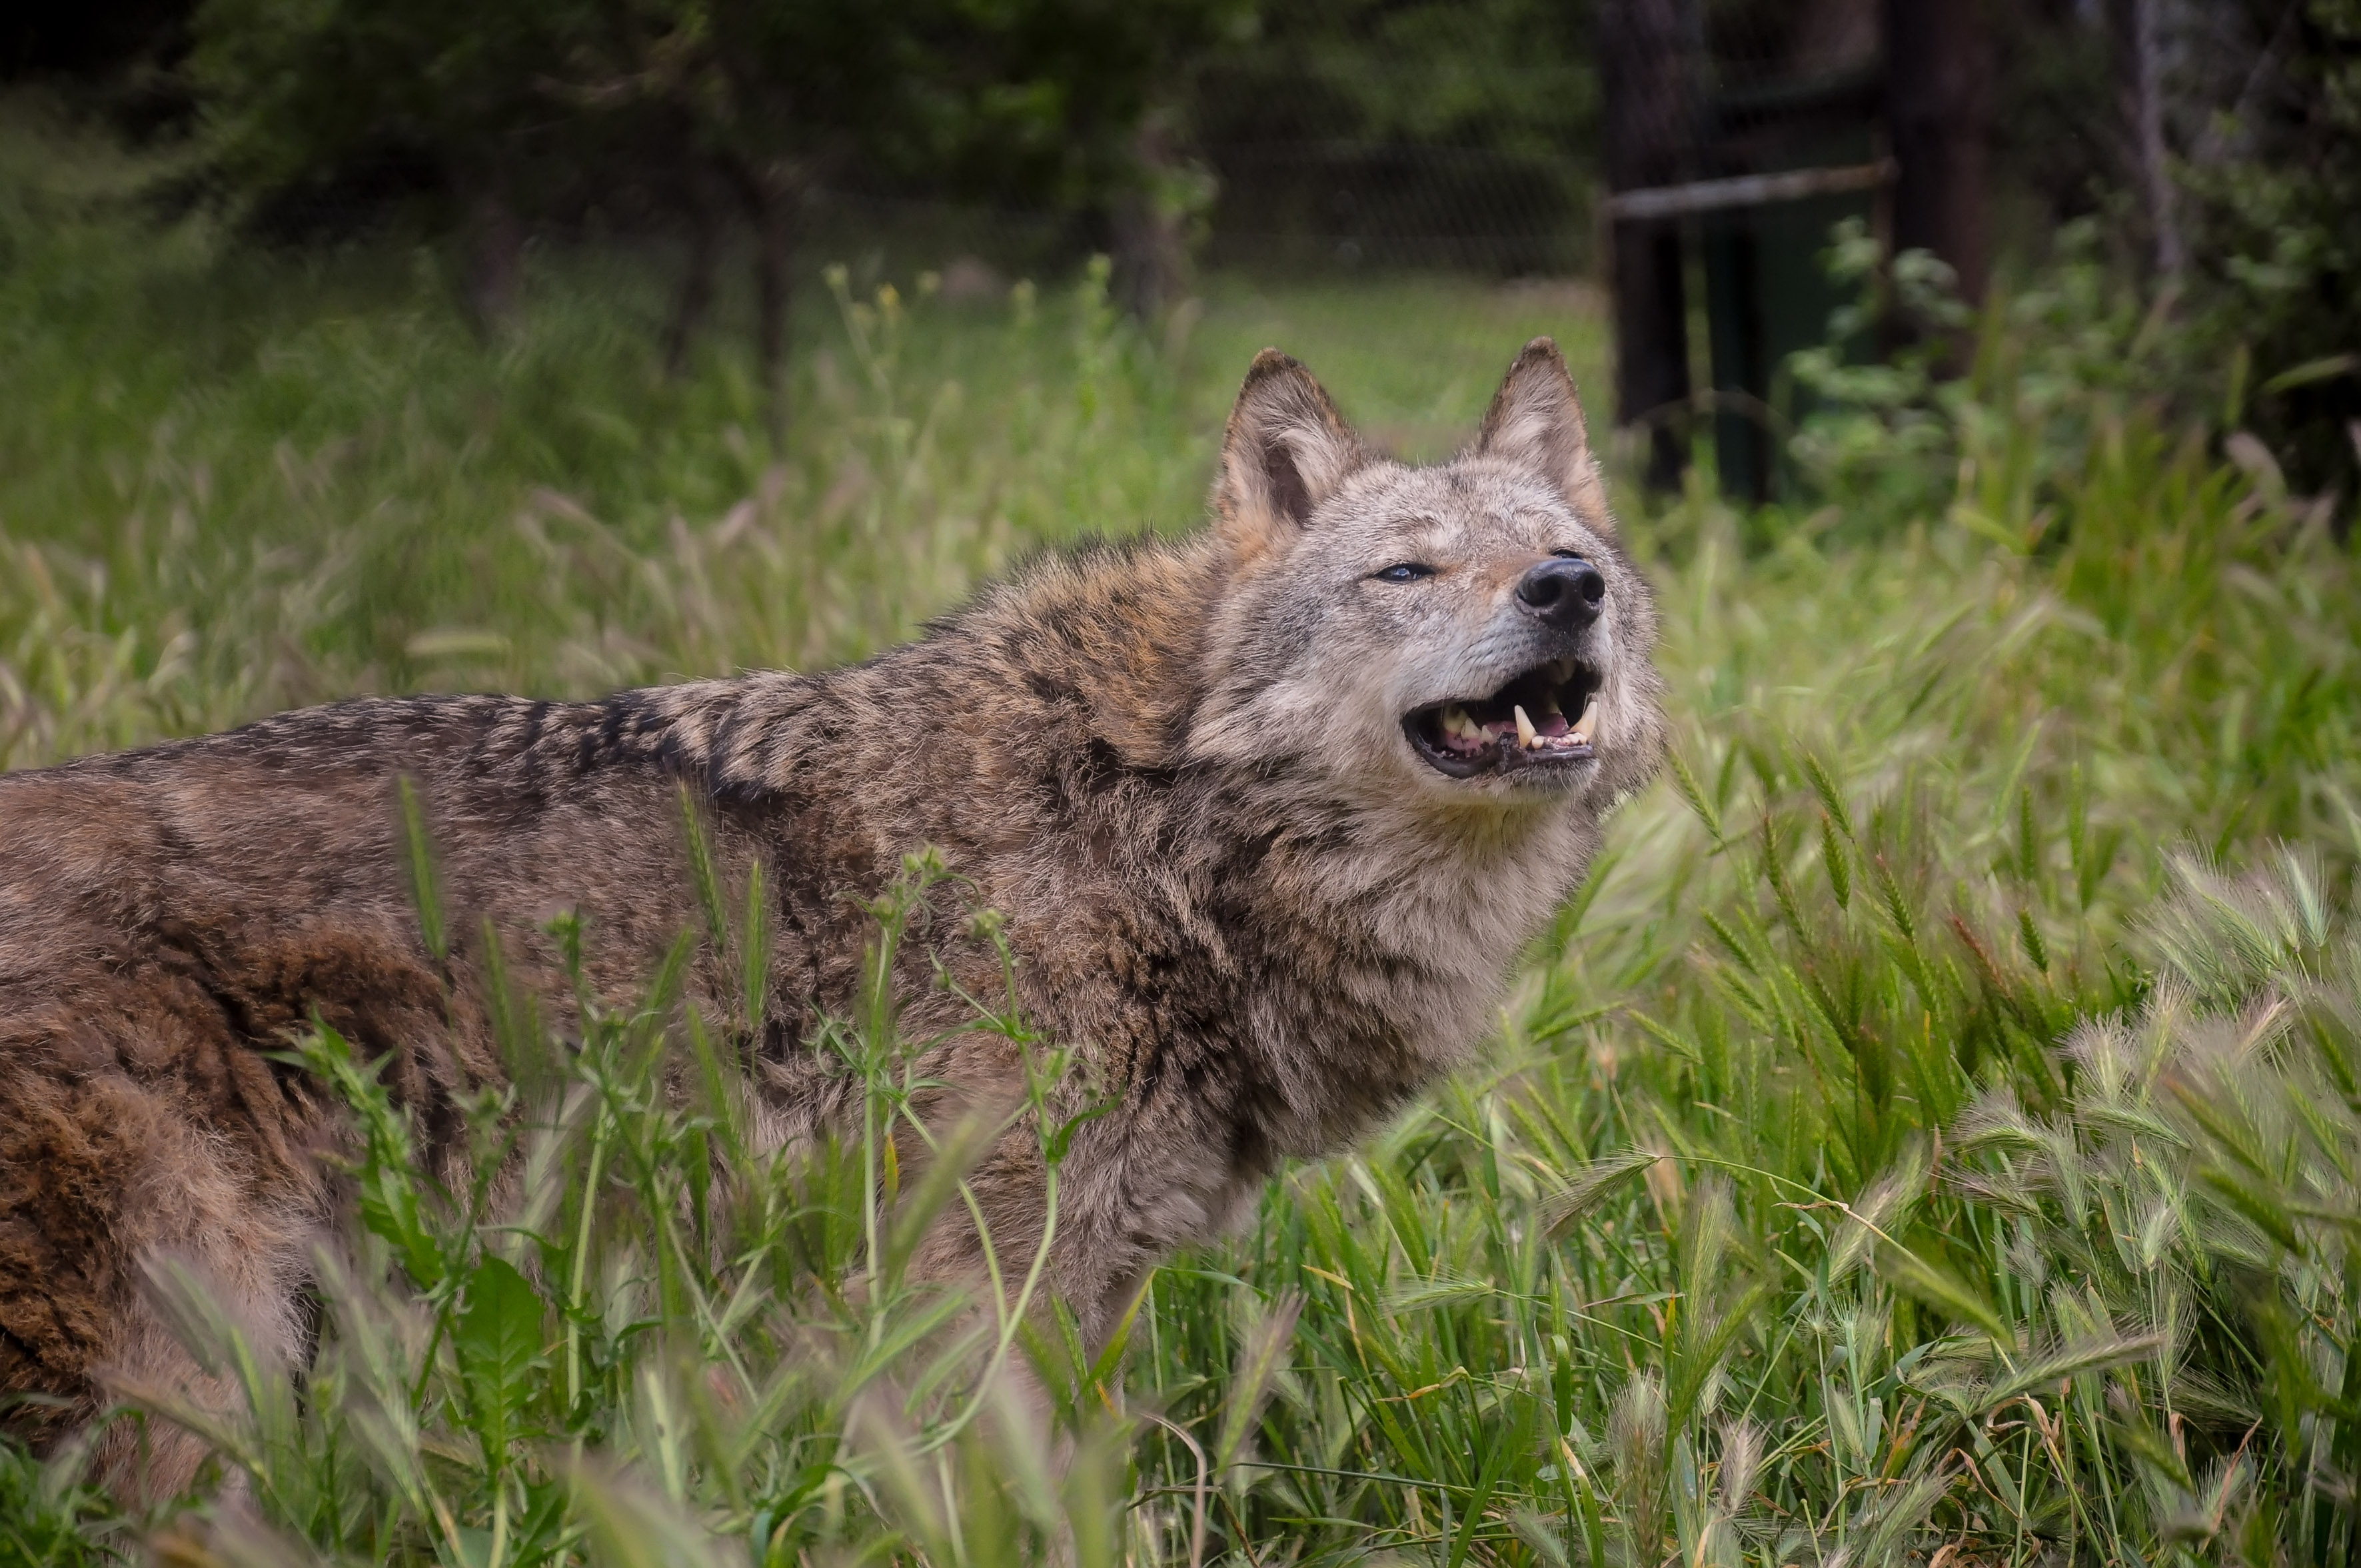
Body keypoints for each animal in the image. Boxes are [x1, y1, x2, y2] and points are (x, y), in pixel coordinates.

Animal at [0, 337, 1662, 1492]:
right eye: (1405, 570)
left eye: (1564, 557)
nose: (1566, 587)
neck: (1155, 821)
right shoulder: (968, 1285)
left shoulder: (1088, 1281)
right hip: (183, 1385)